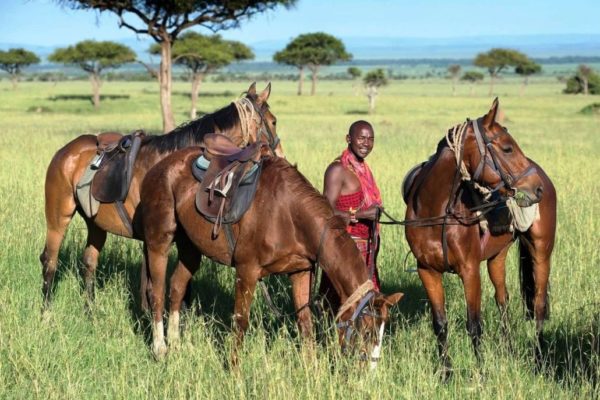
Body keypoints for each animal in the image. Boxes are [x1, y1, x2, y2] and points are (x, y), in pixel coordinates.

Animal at [39, 83, 282, 310]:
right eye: (273, 121)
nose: (280, 155)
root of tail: (65, 151)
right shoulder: (153, 239)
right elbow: (151, 288)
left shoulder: (182, 241)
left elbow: (182, 290)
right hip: (58, 218)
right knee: (49, 260)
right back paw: (46, 313)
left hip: (95, 224)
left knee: (89, 263)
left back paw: (90, 313)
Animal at [139, 147, 404, 366]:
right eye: (367, 331)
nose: (369, 371)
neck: (288, 214)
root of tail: (158, 166)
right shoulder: (247, 270)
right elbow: (241, 321)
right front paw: (234, 372)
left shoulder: (300, 271)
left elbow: (305, 322)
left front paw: (312, 370)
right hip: (159, 241)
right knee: (158, 291)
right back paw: (160, 349)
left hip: (191, 248)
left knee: (176, 287)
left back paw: (176, 345)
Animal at [400, 98, 556, 380]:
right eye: (507, 148)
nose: (536, 188)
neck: (435, 212)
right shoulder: (427, 271)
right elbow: (440, 324)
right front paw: (446, 374)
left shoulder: (470, 271)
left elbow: (474, 325)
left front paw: (481, 374)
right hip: (497, 257)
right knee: (503, 300)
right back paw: (508, 349)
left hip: (541, 251)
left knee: (538, 305)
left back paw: (538, 360)